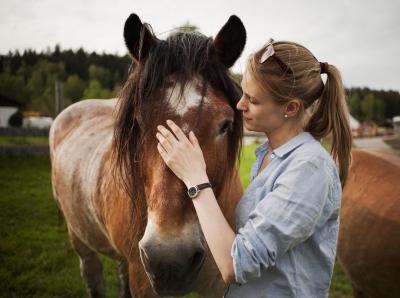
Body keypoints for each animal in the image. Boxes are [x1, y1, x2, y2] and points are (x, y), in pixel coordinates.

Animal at [50, 13, 247, 296]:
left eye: (225, 124)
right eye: (138, 123)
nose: (170, 259)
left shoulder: (219, 284)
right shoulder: (144, 281)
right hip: (81, 241)